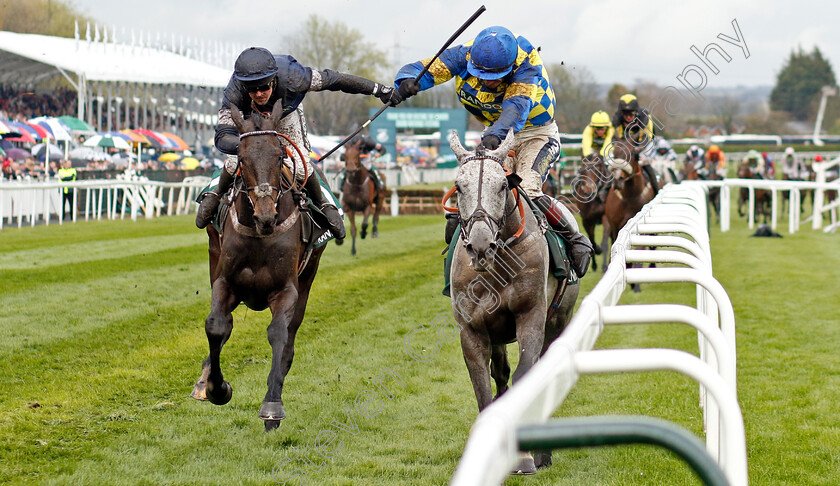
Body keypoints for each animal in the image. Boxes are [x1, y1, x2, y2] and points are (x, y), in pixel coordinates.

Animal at [189, 101, 324, 430]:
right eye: (242, 158)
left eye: (279, 156)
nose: (266, 217)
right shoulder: (225, 282)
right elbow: (216, 326)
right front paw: (217, 388)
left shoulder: (286, 289)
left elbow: (279, 334)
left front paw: (272, 405)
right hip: (213, 255)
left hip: (309, 275)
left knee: (290, 335)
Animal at [450, 130, 580, 474]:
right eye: (459, 186)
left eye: (502, 186)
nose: (481, 246)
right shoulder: (472, 330)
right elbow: (484, 387)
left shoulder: (531, 316)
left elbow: (526, 375)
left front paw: (525, 457)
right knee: (501, 373)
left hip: (559, 319)